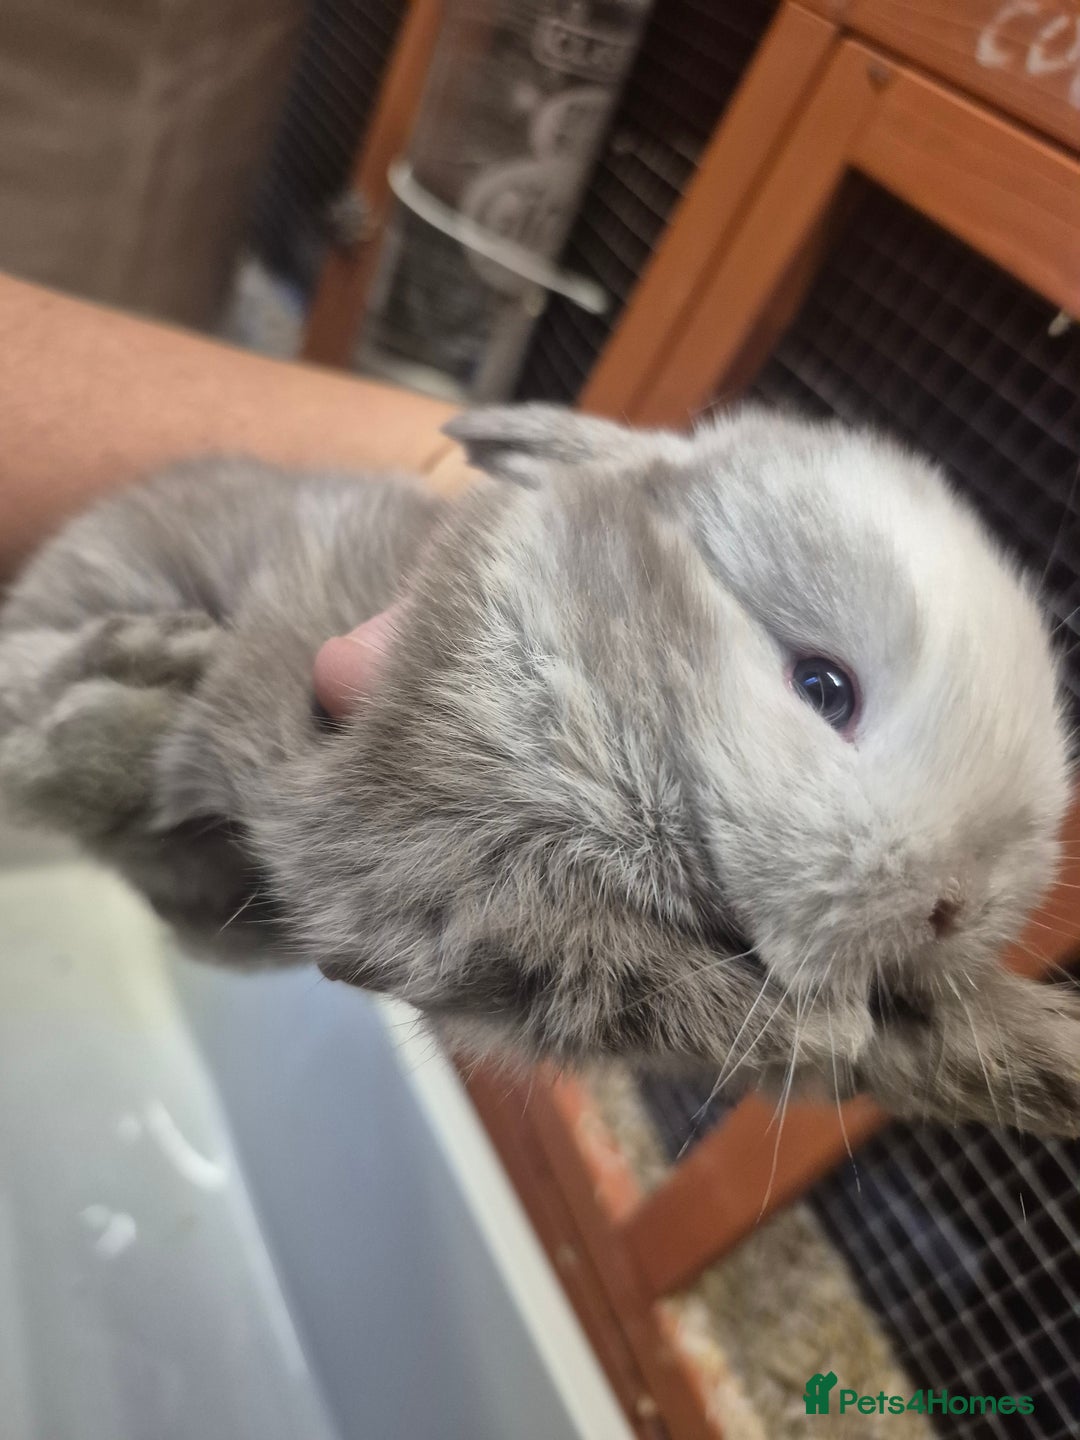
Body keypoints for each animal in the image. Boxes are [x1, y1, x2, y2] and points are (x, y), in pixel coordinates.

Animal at [1, 403, 1077, 1136]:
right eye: (824, 688)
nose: (957, 908)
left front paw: (1045, 1053)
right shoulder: (429, 848)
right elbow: (618, 963)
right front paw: (822, 1027)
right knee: (37, 715)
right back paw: (140, 678)